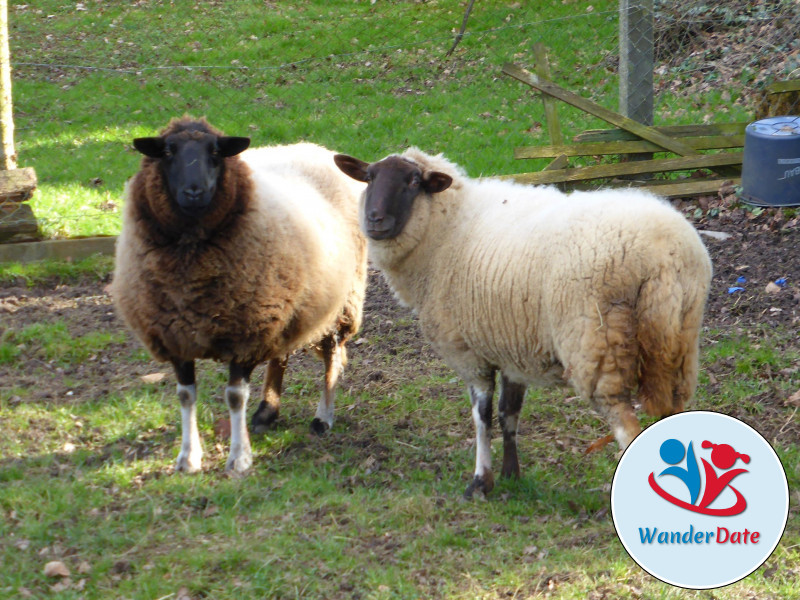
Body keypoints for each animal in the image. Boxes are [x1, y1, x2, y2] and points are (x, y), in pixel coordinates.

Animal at [111, 117, 368, 474]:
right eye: (168, 152)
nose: (194, 191)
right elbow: (185, 395)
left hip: (340, 300)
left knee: (332, 355)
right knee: (280, 355)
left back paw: (322, 416)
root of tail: (314, 148)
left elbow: (234, 396)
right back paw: (266, 412)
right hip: (285, 305)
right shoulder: (175, 336)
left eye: (215, 153)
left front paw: (239, 458)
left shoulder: (245, 335)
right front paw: (188, 457)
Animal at [334, 149, 708, 496]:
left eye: (413, 181)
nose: (375, 220)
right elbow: (508, 413)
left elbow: (482, 416)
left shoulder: (468, 352)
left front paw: (480, 482)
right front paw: (511, 475)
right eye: (369, 177)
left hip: (597, 344)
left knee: (625, 425)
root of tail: (665, 255)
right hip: (675, 345)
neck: (447, 228)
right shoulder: (513, 346)